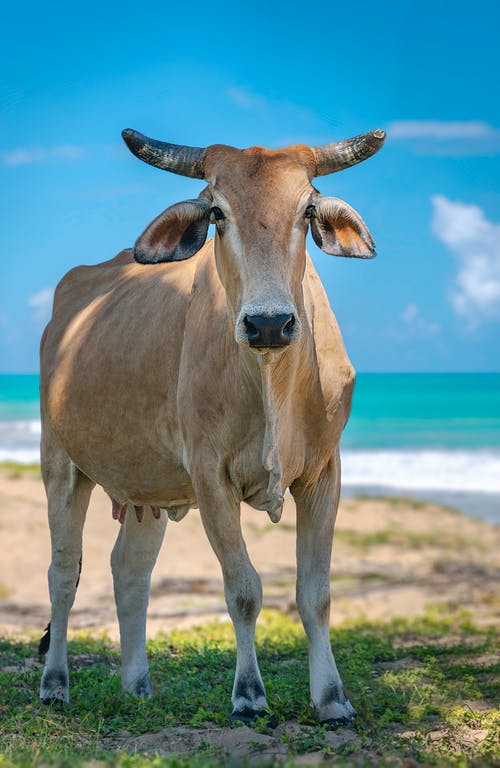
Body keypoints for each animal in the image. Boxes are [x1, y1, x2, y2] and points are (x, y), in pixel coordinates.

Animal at [39, 126, 384, 728]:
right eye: (218, 212)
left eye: (307, 209)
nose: (269, 322)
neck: (273, 380)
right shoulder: (210, 478)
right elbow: (243, 588)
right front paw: (248, 694)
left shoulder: (324, 474)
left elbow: (315, 593)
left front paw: (332, 698)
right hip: (61, 463)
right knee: (64, 572)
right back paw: (55, 684)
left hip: (148, 489)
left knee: (130, 571)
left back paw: (137, 686)